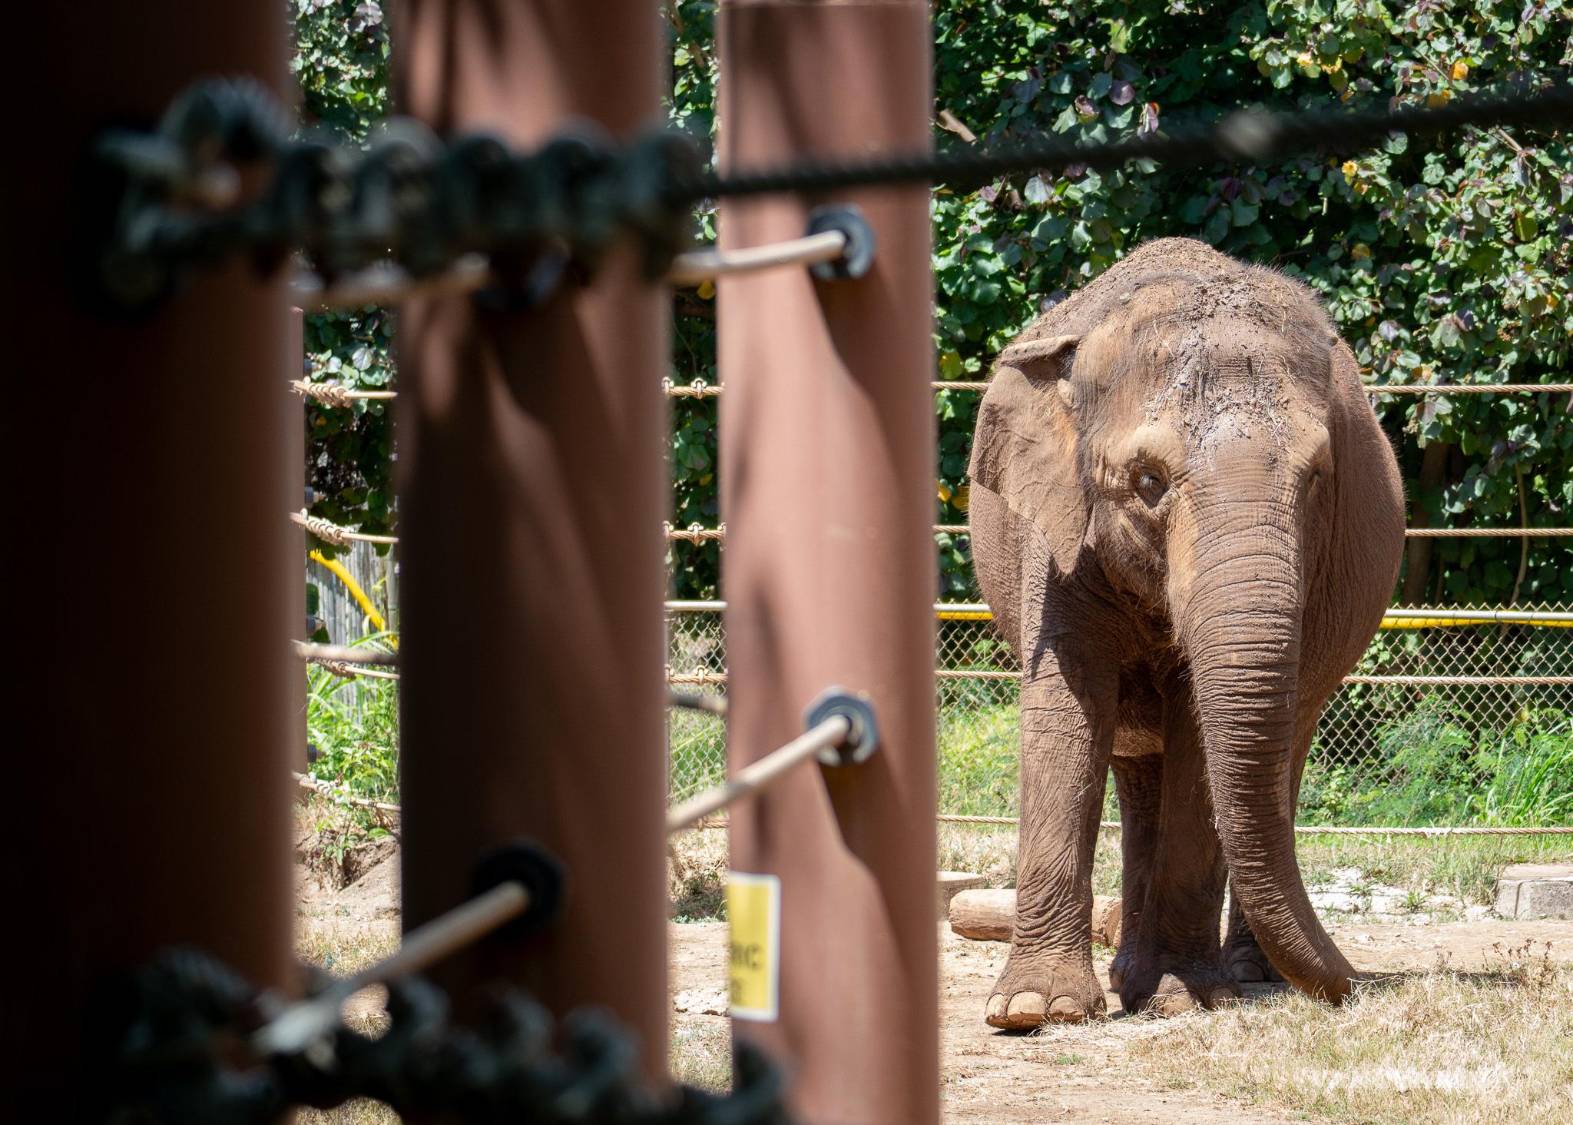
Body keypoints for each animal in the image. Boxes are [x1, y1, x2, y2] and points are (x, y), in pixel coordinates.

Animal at [966, 237, 1405, 1028]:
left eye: (1318, 479)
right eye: (1147, 481)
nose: (1355, 985)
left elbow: (1196, 729)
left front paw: (1182, 999)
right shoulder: (1057, 536)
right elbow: (1068, 708)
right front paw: (1035, 1010)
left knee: (1280, 751)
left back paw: (1244, 977)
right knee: (1137, 768)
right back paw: (1129, 979)